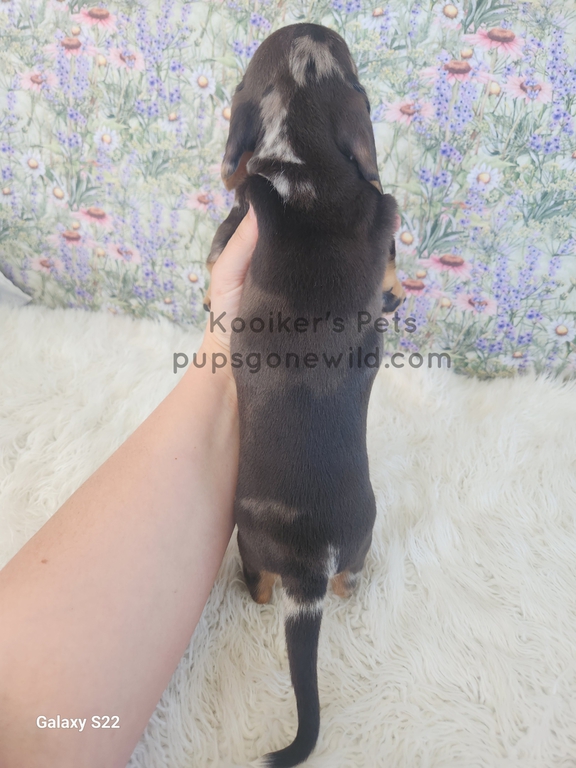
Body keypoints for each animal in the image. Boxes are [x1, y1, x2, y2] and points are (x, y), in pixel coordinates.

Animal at [203, 23, 402, 767]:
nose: (309, 22)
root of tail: (309, 568)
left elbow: (230, 219)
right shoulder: (378, 210)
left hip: (249, 544)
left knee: (261, 587)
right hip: (360, 532)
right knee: (349, 578)